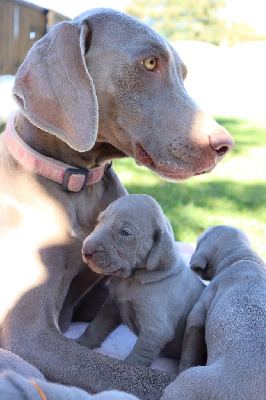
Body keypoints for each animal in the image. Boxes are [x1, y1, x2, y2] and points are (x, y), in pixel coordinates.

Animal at [78, 194, 204, 366]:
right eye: (99, 221)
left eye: (125, 233)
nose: (86, 250)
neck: (132, 281)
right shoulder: (112, 307)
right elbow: (95, 327)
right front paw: (79, 344)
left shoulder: (156, 331)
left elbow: (138, 357)